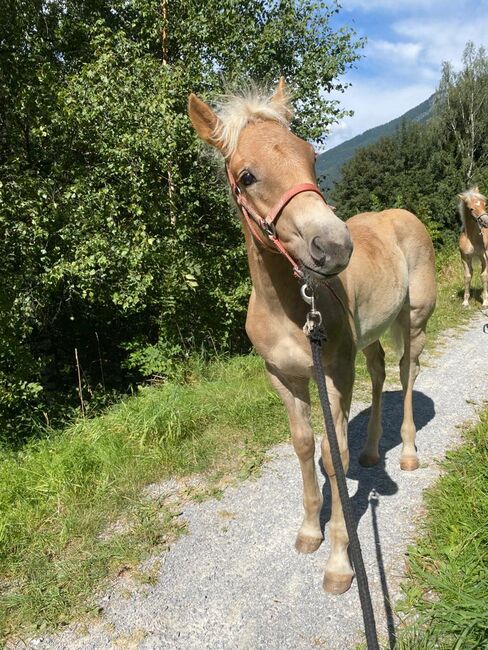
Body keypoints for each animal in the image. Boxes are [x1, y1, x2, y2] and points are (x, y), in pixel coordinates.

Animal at [189, 81, 436, 592]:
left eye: (311, 156)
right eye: (246, 175)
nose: (335, 247)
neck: (290, 309)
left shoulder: (336, 373)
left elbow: (331, 452)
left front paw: (340, 562)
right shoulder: (284, 378)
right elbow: (305, 446)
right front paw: (308, 532)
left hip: (415, 320)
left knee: (407, 373)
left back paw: (406, 454)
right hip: (371, 336)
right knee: (380, 373)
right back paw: (371, 453)